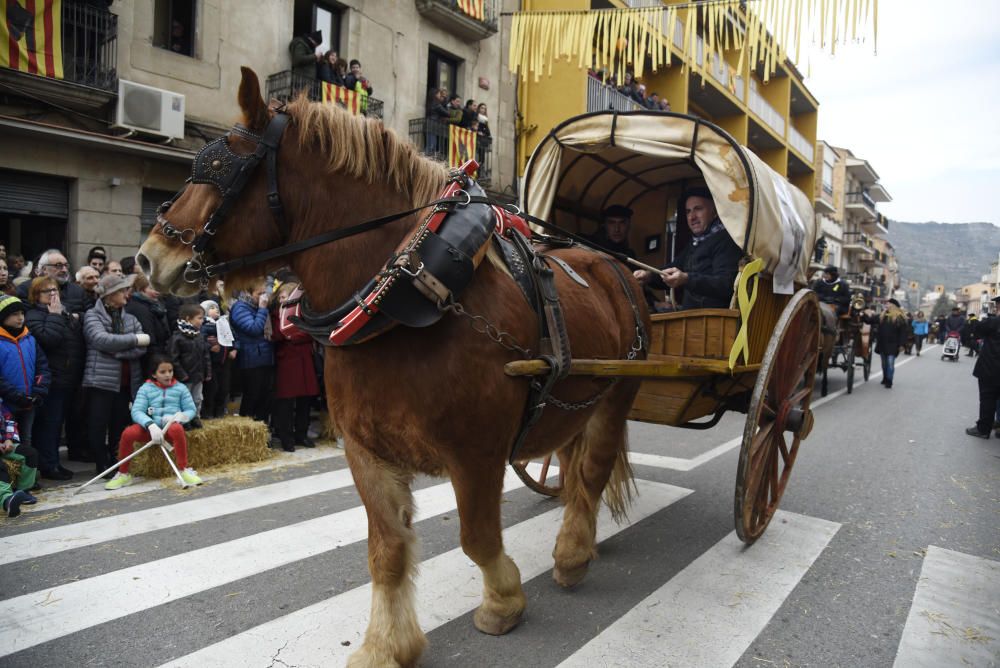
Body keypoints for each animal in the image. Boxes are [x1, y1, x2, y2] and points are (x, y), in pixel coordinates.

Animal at [137, 69, 652, 668]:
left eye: (222, 168)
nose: (149, 258)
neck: (405, 286)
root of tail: (618, 269)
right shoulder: (366, 450)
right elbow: (385, 550)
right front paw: (385, 645)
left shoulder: (476, 451)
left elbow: (478, 538)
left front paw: (502, 603)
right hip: (573, 402)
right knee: (572, 467)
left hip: (616, 395)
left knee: (592, 471)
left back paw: (573, 554)